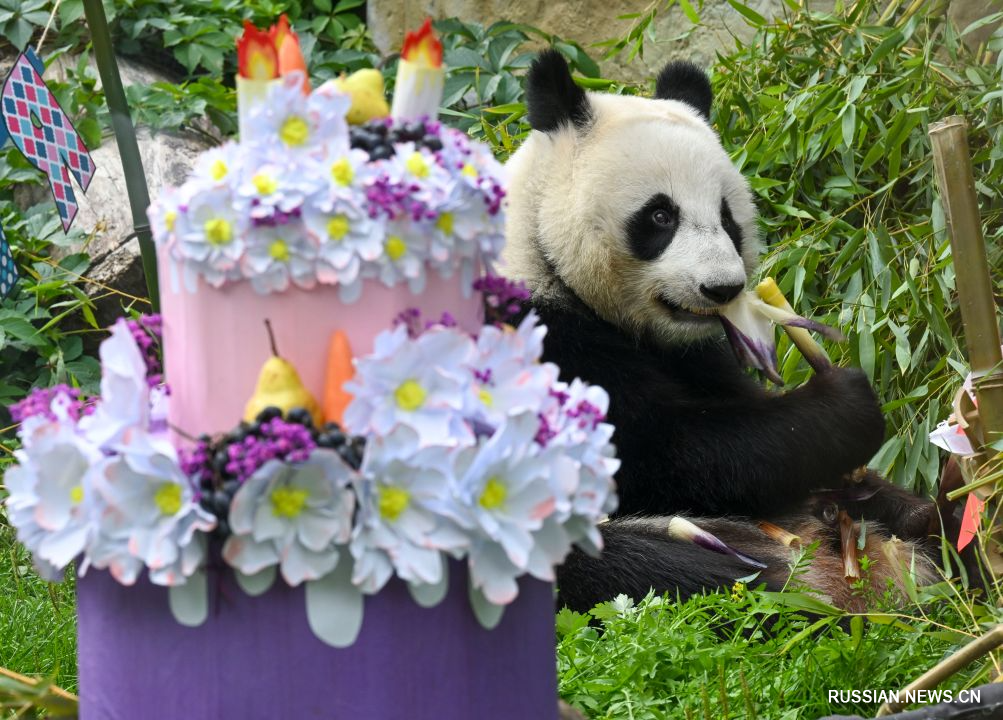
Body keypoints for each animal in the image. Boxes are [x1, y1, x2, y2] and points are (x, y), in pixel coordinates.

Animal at [503, 50, 942, 613]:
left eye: (727, 217)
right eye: (660, 215)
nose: (722, 288)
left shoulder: (696, 356)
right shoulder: (535, 340)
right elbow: (658, 452)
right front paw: (845, 406)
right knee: (653, 570)